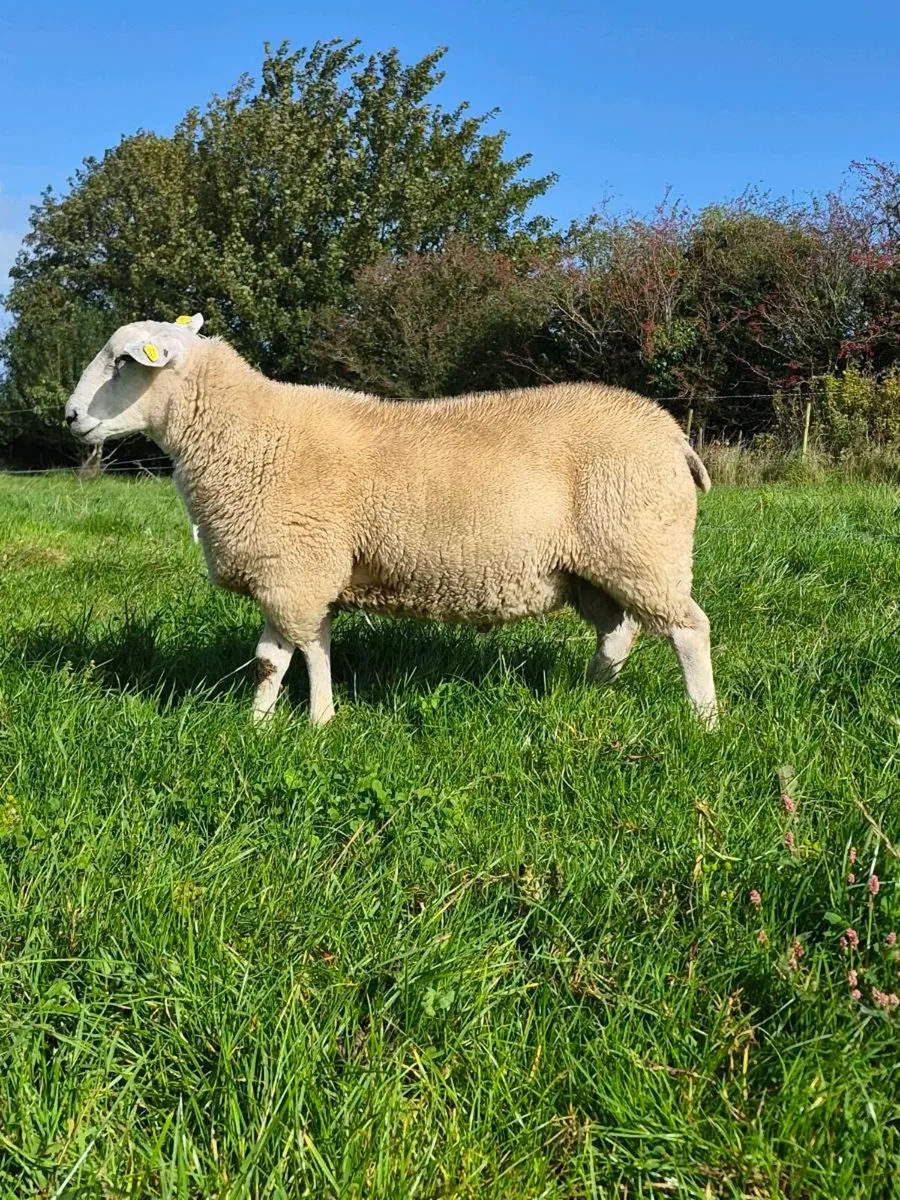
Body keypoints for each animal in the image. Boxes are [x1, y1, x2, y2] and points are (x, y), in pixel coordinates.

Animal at [65, 314, 718, 728]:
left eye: (123, 362)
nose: (69, 416)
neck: (248, 434)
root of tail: (673, 436)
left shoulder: (294, 568)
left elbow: (293, 654)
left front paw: (300, 724)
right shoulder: (297, 571)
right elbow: (287, 654)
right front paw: (274, 724)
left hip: (642, 548)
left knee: (689, 628)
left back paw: (704, 720)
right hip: (595, 568)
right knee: (620, 632)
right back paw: (589, 691)